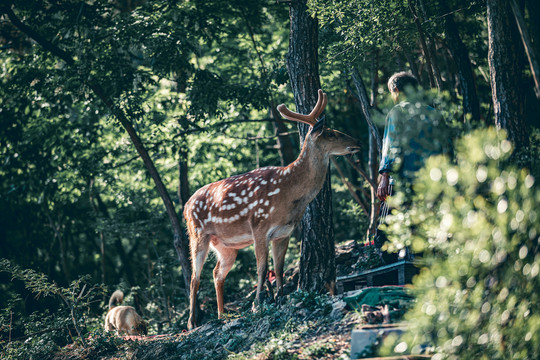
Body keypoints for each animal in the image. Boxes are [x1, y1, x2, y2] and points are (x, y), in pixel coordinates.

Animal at [184, 89, 360, 330]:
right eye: (332, 134)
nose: (357, 142)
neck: (289, 194)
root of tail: (185, 206)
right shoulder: (259, 225)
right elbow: (261, 267)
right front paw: (258, 303)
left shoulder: (284, 232)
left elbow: (278, 268)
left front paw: (280, 297)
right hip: (198, 234)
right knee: (194, 277)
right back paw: (192, 323)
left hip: (227, 246)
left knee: (217, 273)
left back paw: (222, 314)